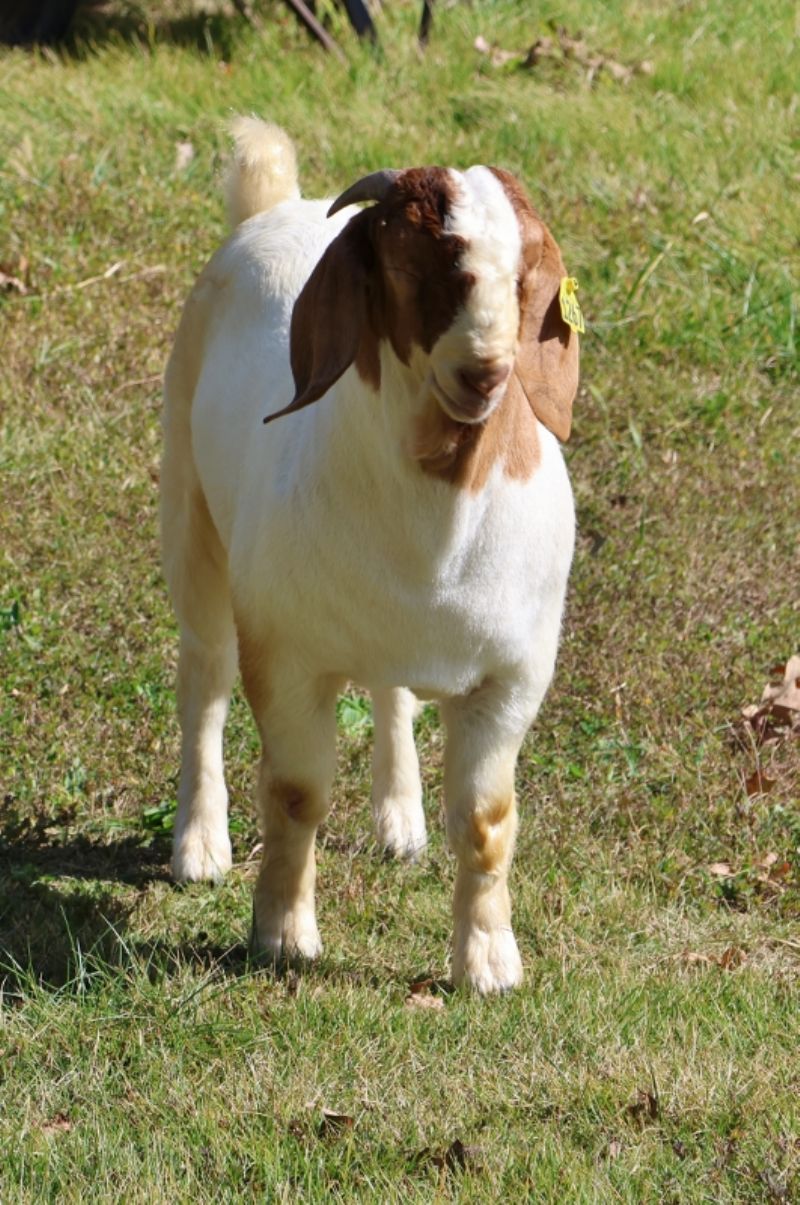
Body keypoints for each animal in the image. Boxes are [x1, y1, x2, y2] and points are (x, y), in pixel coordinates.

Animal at [159, 117, 578, 992]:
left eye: (527, 272)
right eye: (409, 263)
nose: (486, 371)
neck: (437, 538)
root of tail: (276, 204)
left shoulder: (511, 676)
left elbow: (486, 820)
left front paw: (488, 962)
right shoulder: (287, 656)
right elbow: (295, 793)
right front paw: (282, 935)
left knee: (392, 693)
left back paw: (399, 819)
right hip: (190, 517)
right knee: (204, 679)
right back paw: (200, 843)